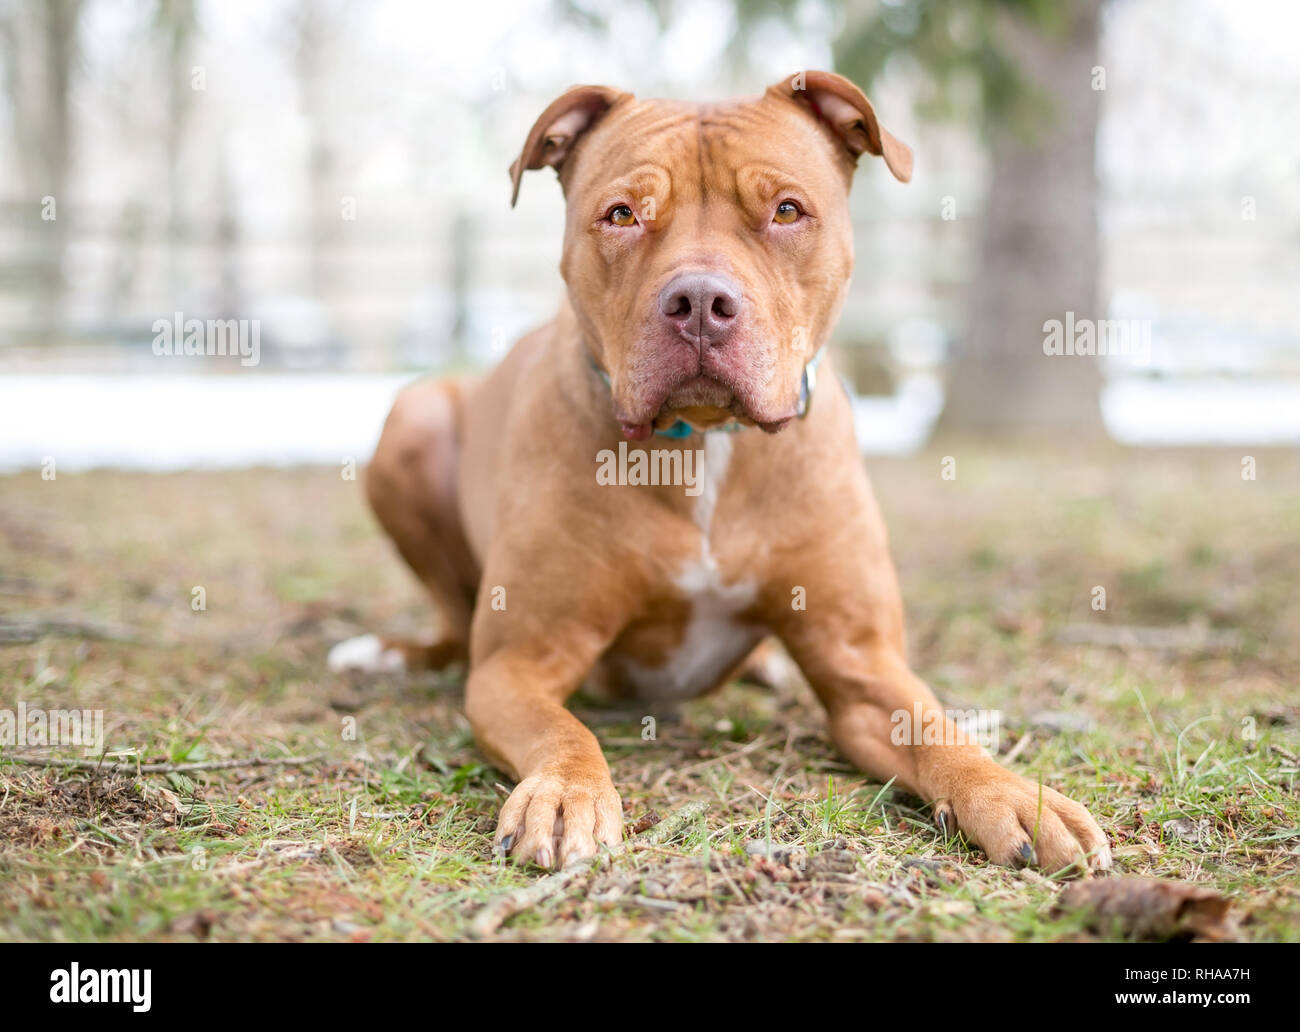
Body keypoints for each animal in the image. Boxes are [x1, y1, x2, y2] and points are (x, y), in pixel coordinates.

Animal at [330, 72, 1112, 873]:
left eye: (787, 210)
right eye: (622, 214)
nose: (701, 301)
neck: (706, 441)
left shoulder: (861, 664)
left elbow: (934, 726)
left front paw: (1015, 793)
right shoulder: (517, 664)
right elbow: (563, 729)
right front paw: (565, 793)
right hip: (413, 418)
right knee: (453, 629)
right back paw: (389, 654)